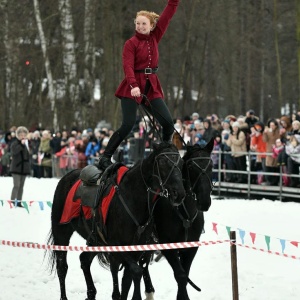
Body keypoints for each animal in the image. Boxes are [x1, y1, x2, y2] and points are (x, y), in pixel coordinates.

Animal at [46, 142, 185, 300]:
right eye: (162, 162)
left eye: (181, 163)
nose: (179, 194)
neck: (133, 197)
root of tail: (67, 176)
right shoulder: (117, 246)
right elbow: (135, 271)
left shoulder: (136, 249)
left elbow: (128, 278)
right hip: (61, 232)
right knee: (62, 266)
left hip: (95, 240)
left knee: (84, 260)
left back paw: (91, 293)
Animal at [112, 141, 213, 300]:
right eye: (191, 167)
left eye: (211, 166)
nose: (204, 201)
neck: (184, 212)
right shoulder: (168, 246)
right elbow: (181, 275)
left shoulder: (191, 247)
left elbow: (185, 274)